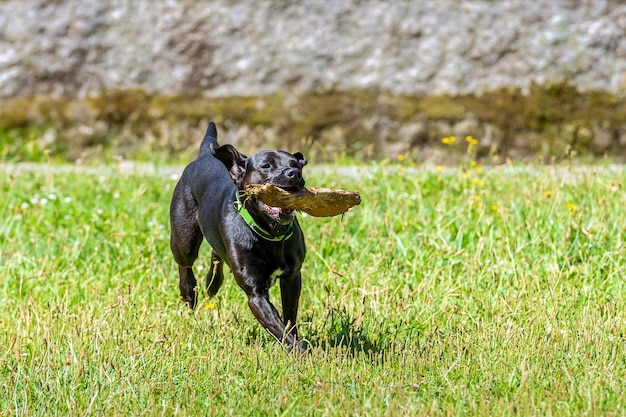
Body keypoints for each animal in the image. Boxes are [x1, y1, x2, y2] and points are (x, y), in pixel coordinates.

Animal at [169, 122, 306, 352]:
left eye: (297, 165)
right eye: (266, 166)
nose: (293, 173)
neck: (270, 234)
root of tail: (204, 155)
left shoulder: (292, 277)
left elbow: (289, 319)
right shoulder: (256, 294)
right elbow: (279, 328)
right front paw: (305, 354)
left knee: (216, 253)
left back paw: (212, 283)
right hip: (183, 239)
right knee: (185, 263)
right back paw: (189, 293)